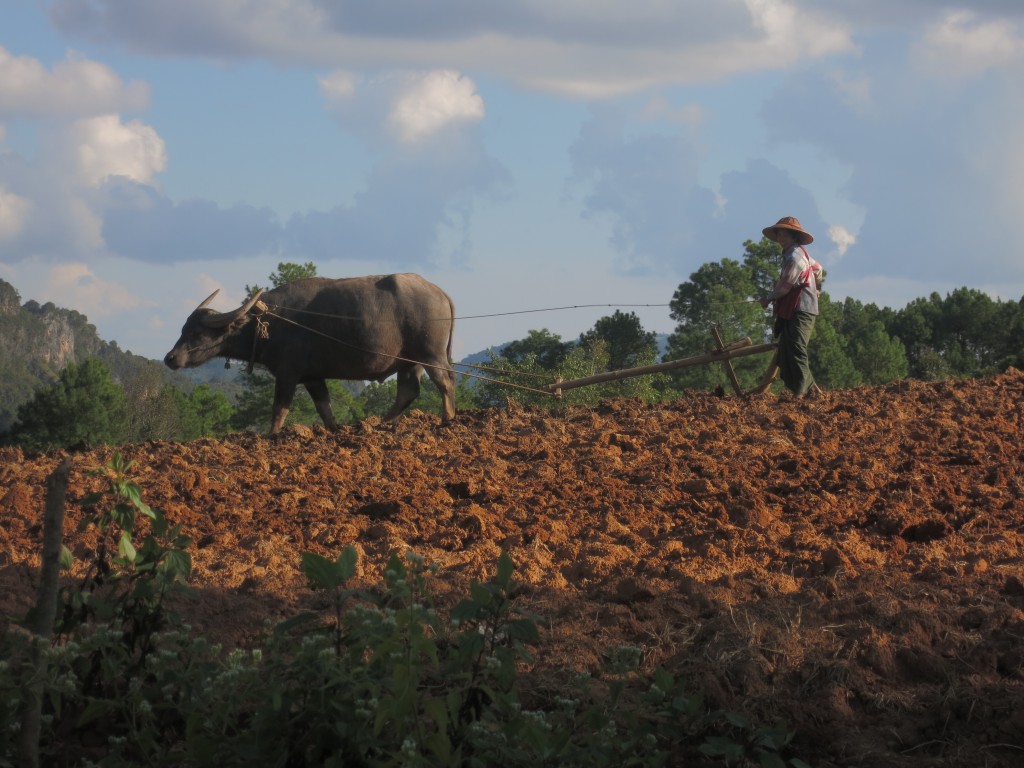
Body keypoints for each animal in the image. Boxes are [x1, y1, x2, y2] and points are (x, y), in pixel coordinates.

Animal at [163, 274, 456, 434]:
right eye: (183, 329)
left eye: (197, 333)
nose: (170, 358)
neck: (268, 323)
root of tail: (440, 292)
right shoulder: (314, 378)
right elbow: (325, 410)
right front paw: (336, 430)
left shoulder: (287, 375)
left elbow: (279, 410)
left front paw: (272, 436)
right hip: (411, 362)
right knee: (408, 391)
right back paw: (379, 424)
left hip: (431, 355)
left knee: (445, 382)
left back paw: (447, 420)